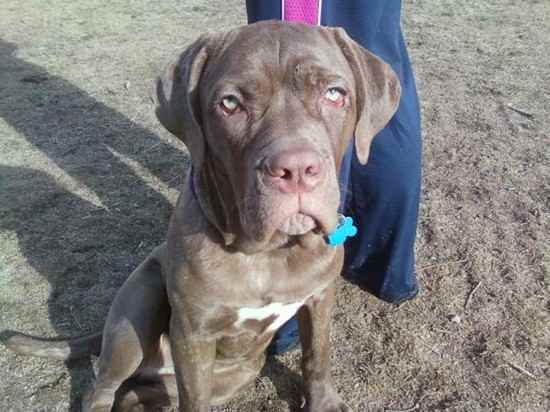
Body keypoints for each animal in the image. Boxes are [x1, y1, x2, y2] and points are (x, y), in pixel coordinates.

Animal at [3, 21, 402, 412]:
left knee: (134, 397)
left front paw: (323, 402)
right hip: (137, 308)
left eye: (335, 94)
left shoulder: (319, 298)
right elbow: (194, 397)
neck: (268, 252)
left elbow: (317, 356)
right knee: (102, 389)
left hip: (236, 373)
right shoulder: (194, 333)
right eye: (230, 104)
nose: (297, 169)